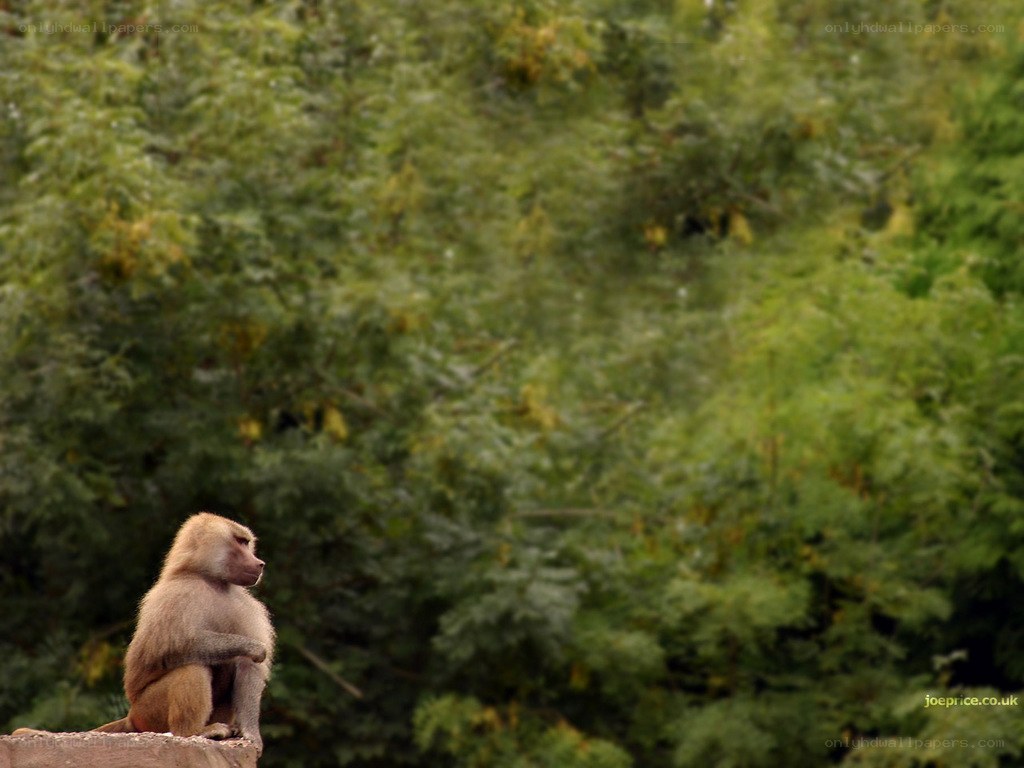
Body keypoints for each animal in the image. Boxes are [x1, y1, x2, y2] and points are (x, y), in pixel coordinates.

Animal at [14, 512, 275, 754]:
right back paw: (193, 731)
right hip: (149, 711)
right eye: (240, 542)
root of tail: (131, 716)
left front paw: (250, 734)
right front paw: (253, 647)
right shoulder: (177, 596)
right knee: (192, 666)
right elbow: (174, 647)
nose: (260, 563)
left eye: (247, 543)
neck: (210, 581)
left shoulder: (245, 606)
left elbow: (249, 668)